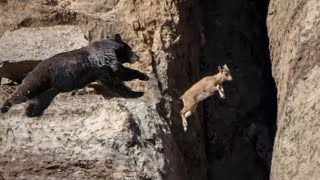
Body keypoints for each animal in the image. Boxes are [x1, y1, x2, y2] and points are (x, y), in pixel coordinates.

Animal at [0, 34, 149, 117]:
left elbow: (113, 83)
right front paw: (143, 79)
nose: (138, 57)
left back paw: (31, 111)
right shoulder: (104, 60)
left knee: (37, 101)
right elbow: (119, 72)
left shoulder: (101, 72)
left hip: (48, 89)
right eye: (130, 49)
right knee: (24, 91)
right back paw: (6, 106)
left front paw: (135, 92)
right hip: (40, 79)